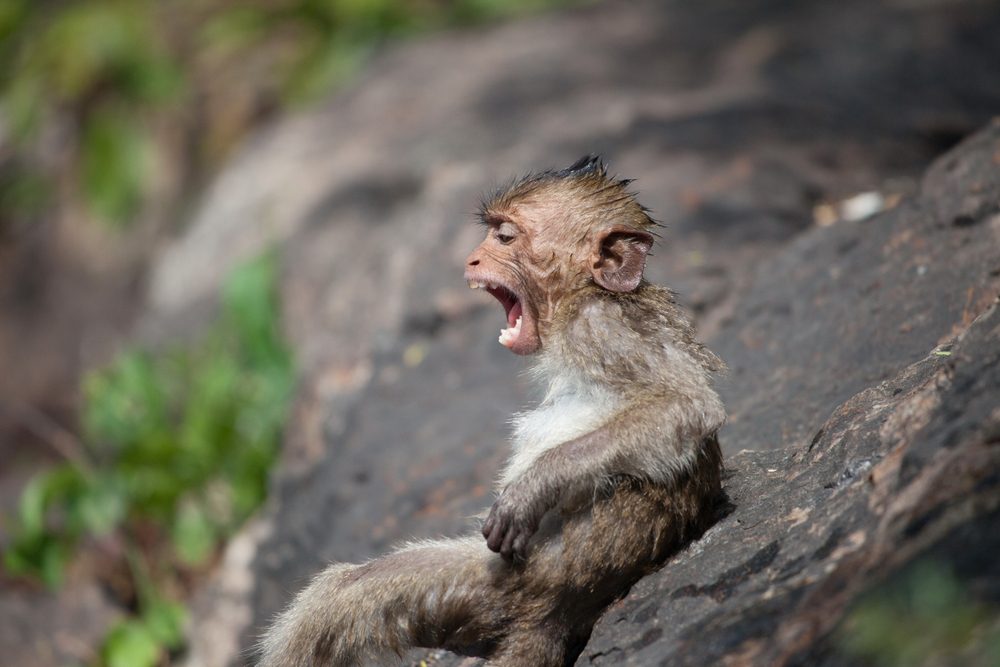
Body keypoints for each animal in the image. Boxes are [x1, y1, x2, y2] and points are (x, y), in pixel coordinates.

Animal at [258, 155, 728, 667]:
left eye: (505, 237)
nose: (471, 259)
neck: (584, 296)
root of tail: (553, 611)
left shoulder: (603, 327)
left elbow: (687, 407)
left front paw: (531, 489)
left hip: (493, 585)